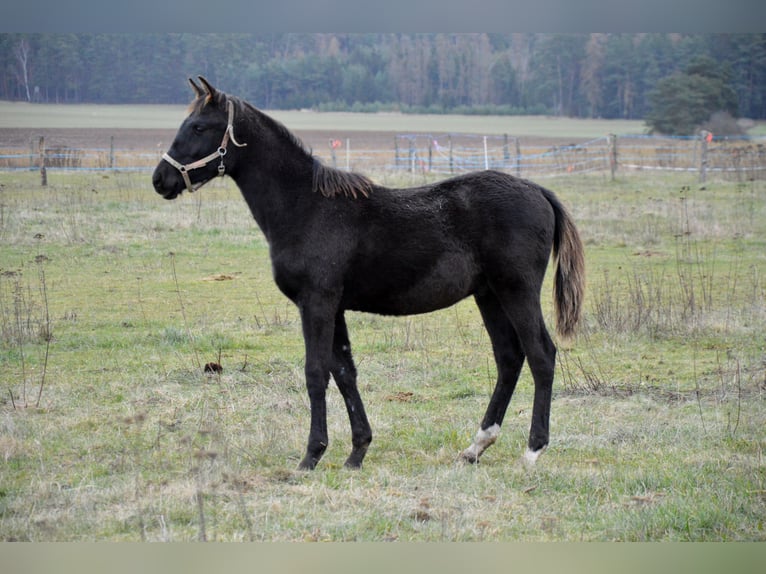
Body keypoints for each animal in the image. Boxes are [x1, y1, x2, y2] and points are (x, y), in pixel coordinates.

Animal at [154, 77, 588, 472]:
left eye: (199, 127)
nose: (161, 179)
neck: (306, 206)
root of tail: (538, 191)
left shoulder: (317, 302)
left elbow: (316, 373)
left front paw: (311, 456)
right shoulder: (335, 308)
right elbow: (345, 372)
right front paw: (357, 451)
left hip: (516, 291)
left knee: (541, 355)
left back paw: (532, 450)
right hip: (489, 296)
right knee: (509, 358)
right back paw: (476, 446)